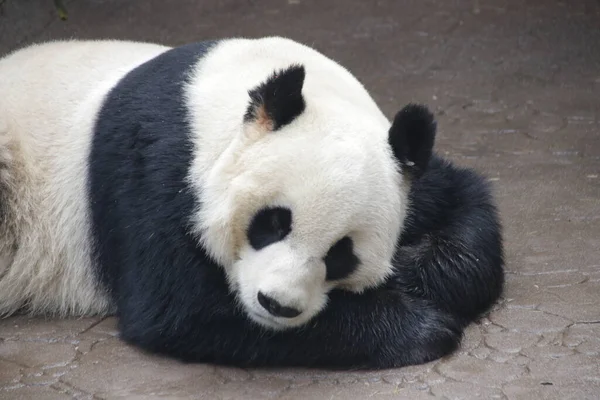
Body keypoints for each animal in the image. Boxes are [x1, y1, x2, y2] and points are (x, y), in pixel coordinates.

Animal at [0, 36, 506, 368]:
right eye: (272, 223)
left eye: (342, 254)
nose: (277, 305)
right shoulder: (154, 164)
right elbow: (178, 307)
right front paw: (421, 326)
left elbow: (464, 202)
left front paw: (418, 274)